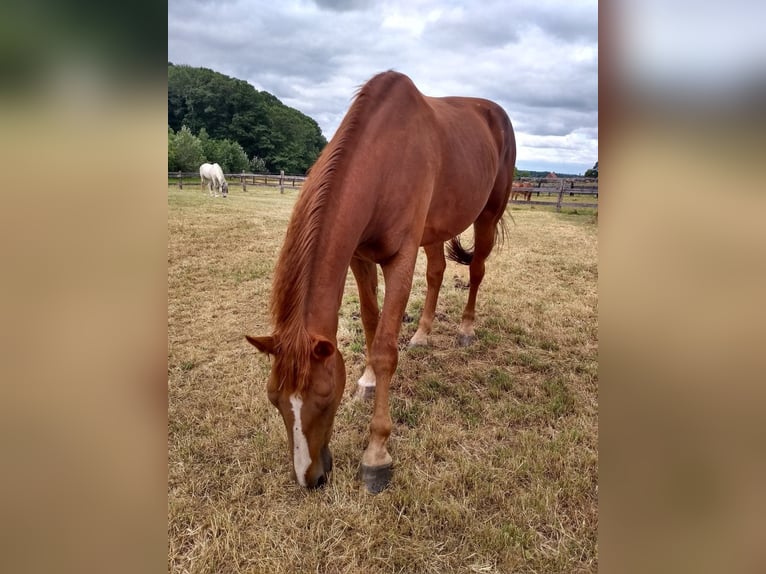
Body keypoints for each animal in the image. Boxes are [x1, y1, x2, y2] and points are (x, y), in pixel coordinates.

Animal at [249, 71, 520, 496]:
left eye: (325, 396)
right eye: (274, 399)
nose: (310, 478)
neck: (384, 160)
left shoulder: (400, 261)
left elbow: (384, 350)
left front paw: (376, 454)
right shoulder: (359, 256)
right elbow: (370, 323)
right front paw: (367, 381)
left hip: (487, 217)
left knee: (476, 271)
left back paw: (465, 329)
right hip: (435, 229)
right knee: (437, 272)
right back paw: (422, 334)